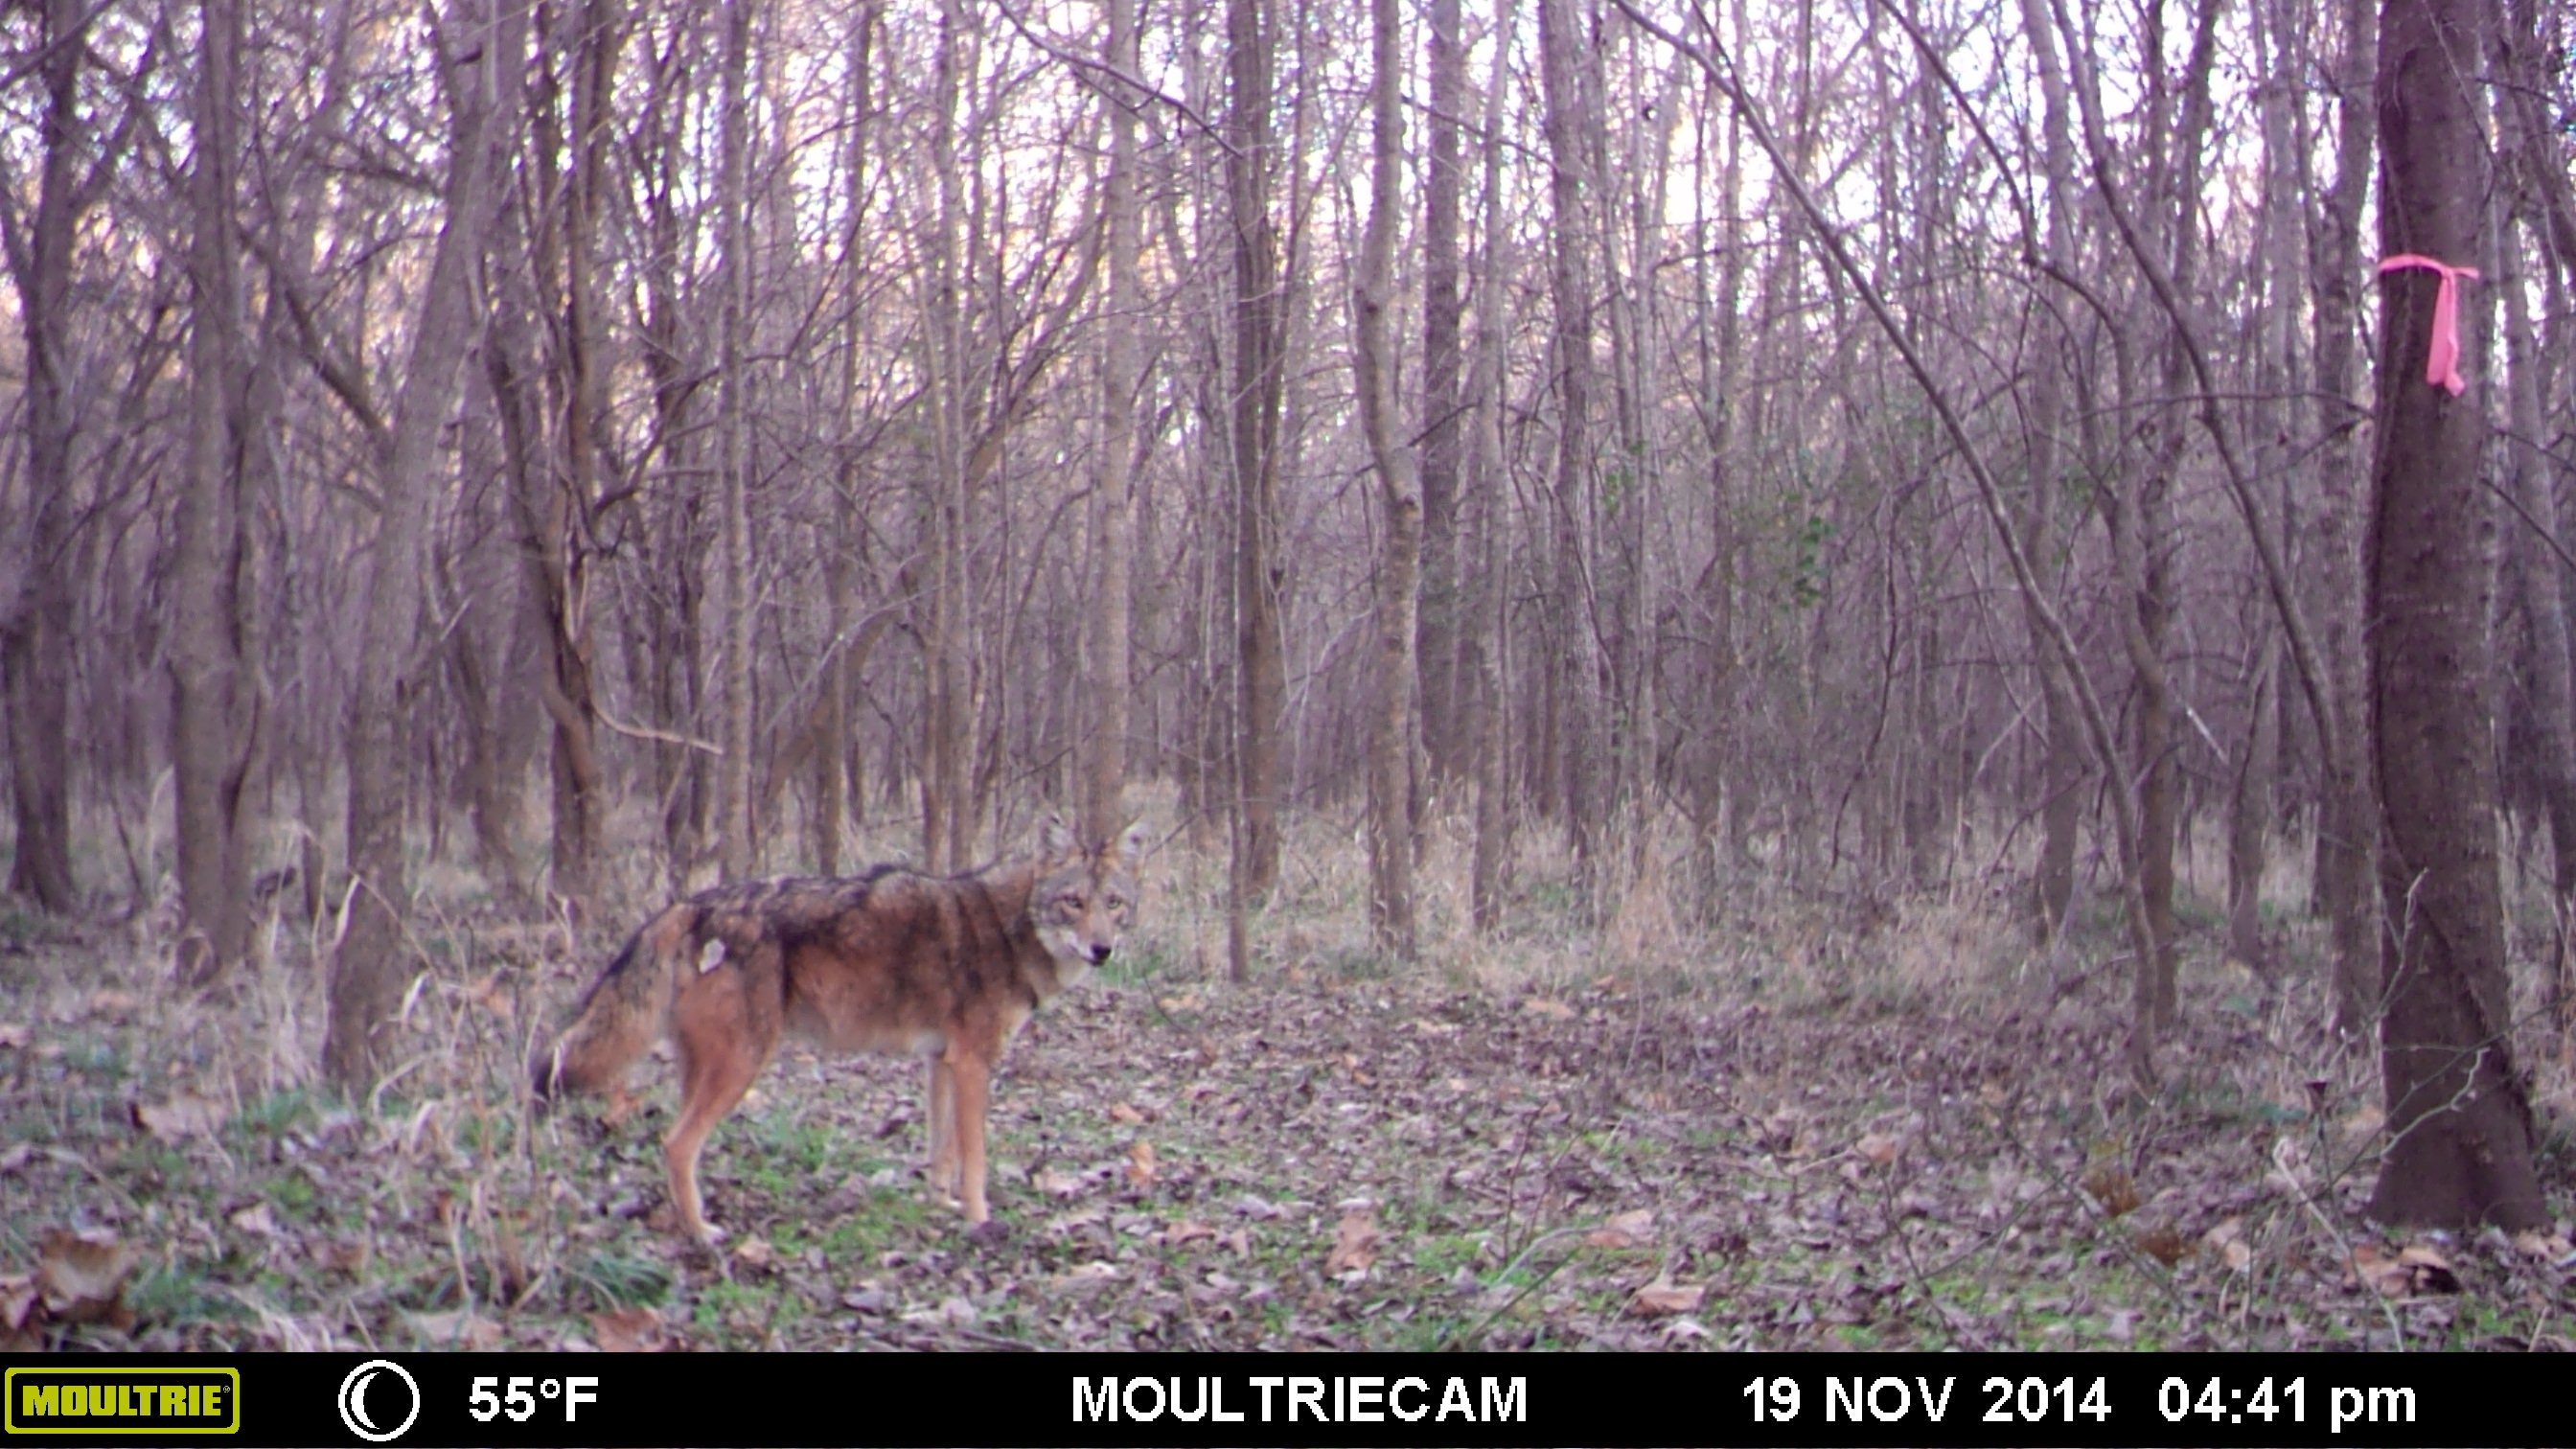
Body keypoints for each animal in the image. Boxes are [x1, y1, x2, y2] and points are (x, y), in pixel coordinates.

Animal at [532, 813, 1144, 1243]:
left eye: (1115, 903)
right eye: (1074, 902)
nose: (1103, 950)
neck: (1011, 929)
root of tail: (688, 906)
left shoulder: (941, 1061)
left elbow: (942, 1151)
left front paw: (941, 1205)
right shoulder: (973, 1064)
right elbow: (975, 1158)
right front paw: (979, 1220)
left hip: (705, 1069)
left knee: (678, 1144)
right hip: (741, 1066)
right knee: (676, 1143)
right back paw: (702, 1234)